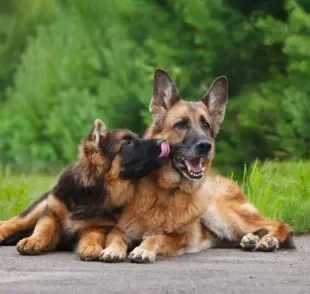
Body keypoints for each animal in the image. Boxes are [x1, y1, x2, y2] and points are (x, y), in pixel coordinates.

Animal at [0, 118, 171, 260]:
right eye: (127, 143)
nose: (163, 141)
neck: (92, 191)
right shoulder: (51, 213)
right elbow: (43, 229)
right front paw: (32, 241)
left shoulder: (97, 226)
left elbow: (93, 236)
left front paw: (91, 247)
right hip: (39, 207)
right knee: (12, 223)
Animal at [100, 70, 294, 264]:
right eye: (180, 124)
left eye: (205, 125)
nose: (205, 146)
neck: (167, 192)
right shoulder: (119, 229)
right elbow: (115, 238)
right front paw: (112, 250)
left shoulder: (178, 237)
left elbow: (157, 237)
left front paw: (143, 249)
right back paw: (250, 239)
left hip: (219, 213)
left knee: (279, 223)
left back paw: (269, 239)